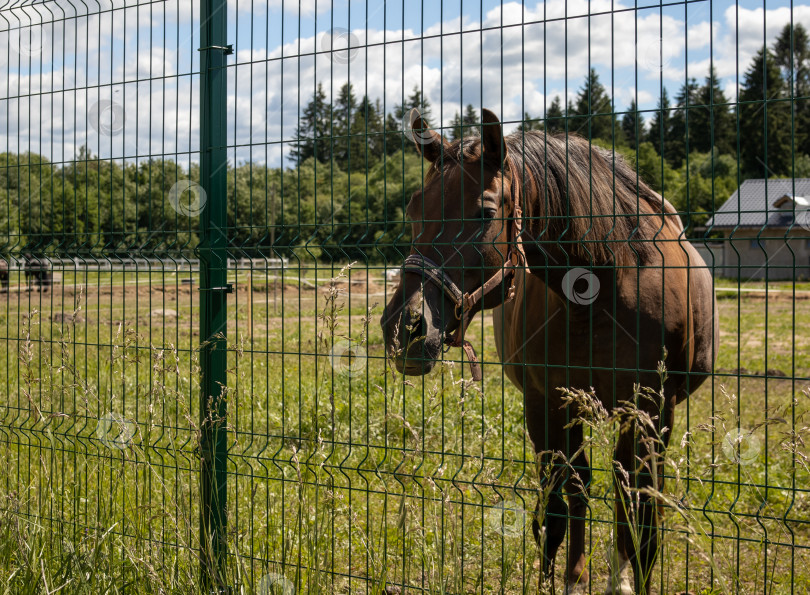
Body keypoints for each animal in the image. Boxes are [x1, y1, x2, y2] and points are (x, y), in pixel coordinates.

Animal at [378, 109, 712, 592]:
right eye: (414, 208)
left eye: (485, 212)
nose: (403, 328)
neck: (602, 286)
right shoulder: (546, 403)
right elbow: (557, 510)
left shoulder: (651, 411)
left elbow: (642, 522)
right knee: (580, 490)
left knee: (620, 495)